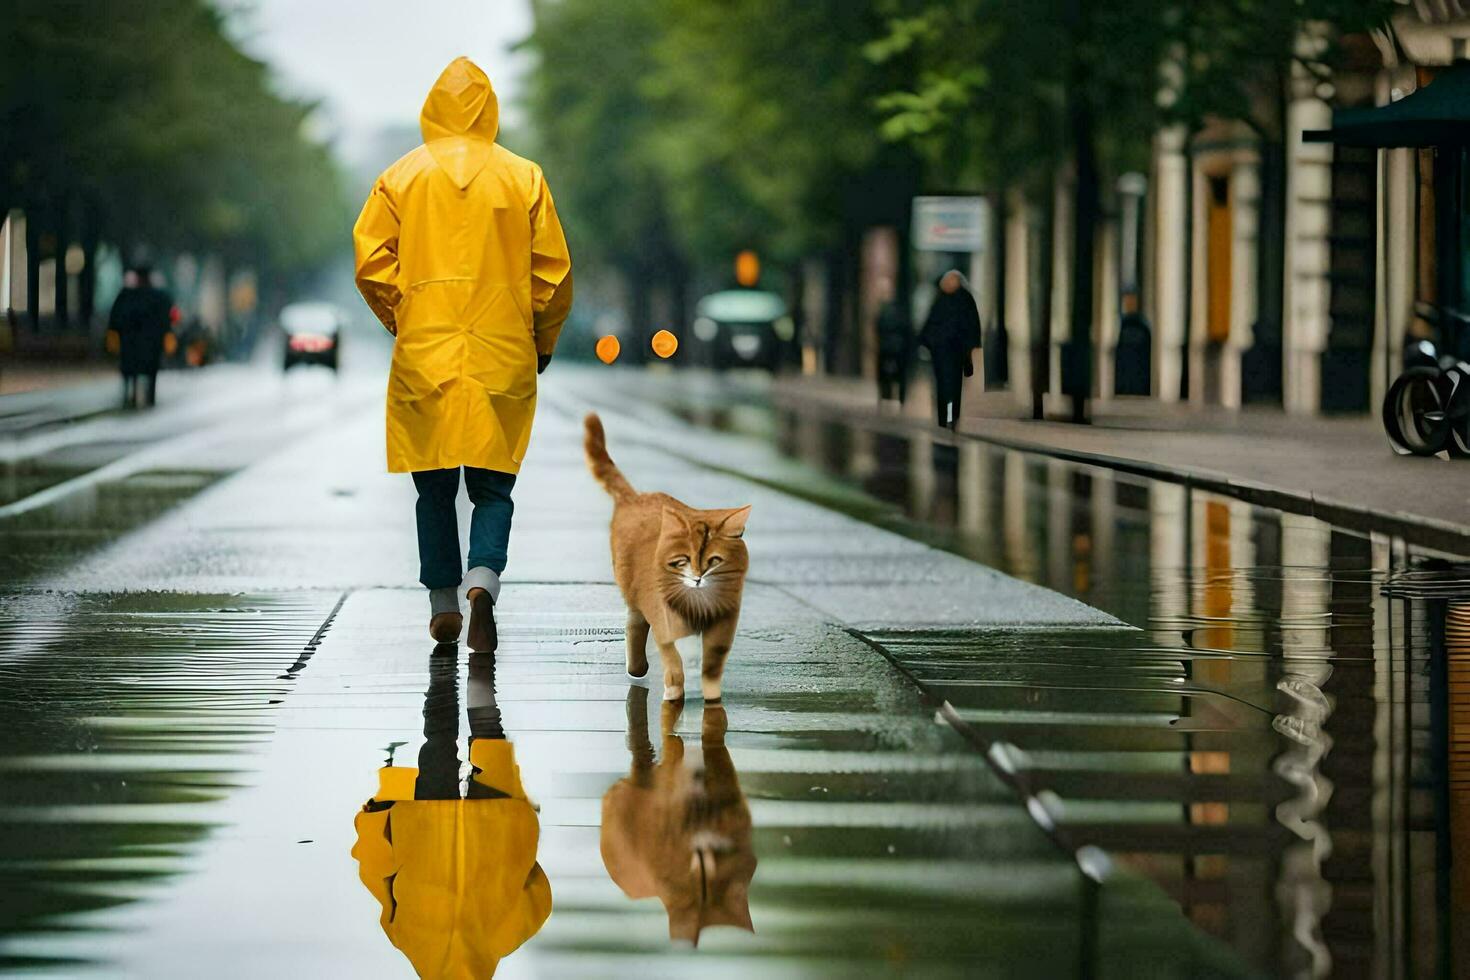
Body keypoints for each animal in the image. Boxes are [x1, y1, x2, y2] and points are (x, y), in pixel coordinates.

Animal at [582, 417, 752, 702]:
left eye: (715, 559)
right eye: (683, 559)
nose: (698, 577)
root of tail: (637, 497)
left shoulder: (722, 629)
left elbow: (711, 668)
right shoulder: (666, 624)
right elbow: (674, 663)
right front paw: (675, 692)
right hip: (633, 591)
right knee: (635, 625)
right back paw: (639, 667)